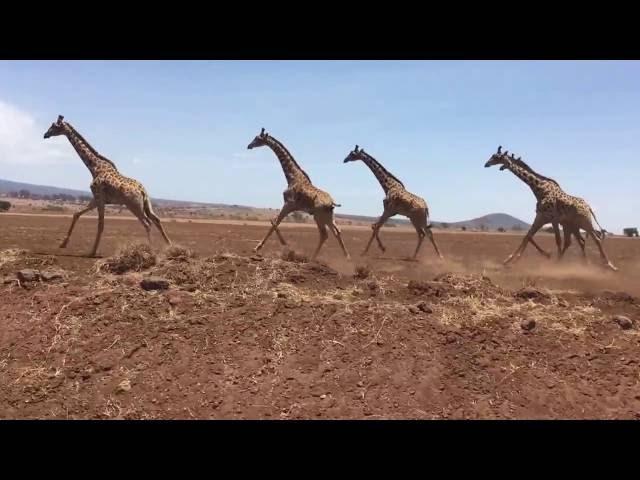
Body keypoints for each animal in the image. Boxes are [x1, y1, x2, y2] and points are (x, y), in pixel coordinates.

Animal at [43, 115, 171, 256]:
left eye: (54, 126)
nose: (45, 135)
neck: (94, 167)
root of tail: (142, 191)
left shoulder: (99, 196)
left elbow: (100, 224)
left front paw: (92, 252)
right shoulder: (97, 198)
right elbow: (76, 214)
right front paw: (63, 244)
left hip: (134, 206)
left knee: (147, 223)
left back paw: (151, 251)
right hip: (147, 205)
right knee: (156, 219)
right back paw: (169, 245)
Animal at [249, 127, 350, 260]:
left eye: (257, 138)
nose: (249, 146)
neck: (292, 177)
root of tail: (332, 203)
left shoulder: (289, 204)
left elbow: (274, 222)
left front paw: (260, 247)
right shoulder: (292, 206)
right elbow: (274, 220)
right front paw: (282, 244)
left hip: (319, 217)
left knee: (324, 234)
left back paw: (312, 258)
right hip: (328, 217)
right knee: (337, 231)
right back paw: (346, 257)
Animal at [484, 146, 616, 270]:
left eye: (496, 157)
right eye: (493, 156)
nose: (486, 164)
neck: (539, 189)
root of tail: (589, 208)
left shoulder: (552, 219)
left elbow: (556, 240)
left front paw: (550, 260)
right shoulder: (541, 217)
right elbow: (527, 236)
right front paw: (509, 260)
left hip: (584, 222)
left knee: (596, 239)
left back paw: (609, 265)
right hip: (572, 225)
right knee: (578, 241)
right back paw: (585, 264)